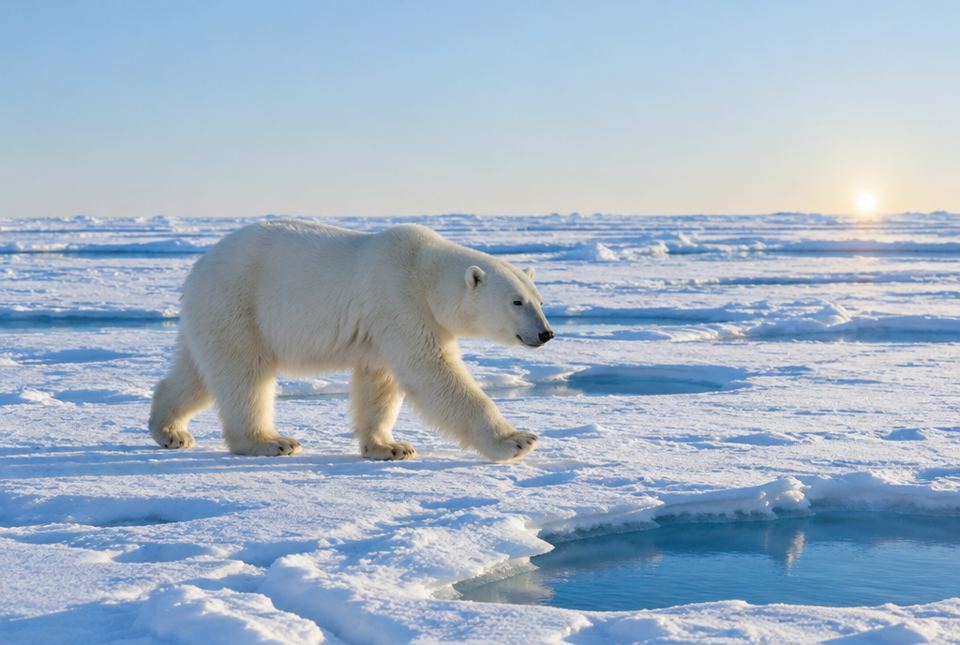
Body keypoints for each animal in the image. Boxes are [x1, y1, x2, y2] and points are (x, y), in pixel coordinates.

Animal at [148, 219, 554, 462]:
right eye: (516, 302)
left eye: (540, 300)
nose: (545, 333)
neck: (425, 271)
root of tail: (199, 267)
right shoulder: (401, 302)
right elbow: (433, 373)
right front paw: (517, 440)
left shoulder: (382, 328)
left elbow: (379, 384)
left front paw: (389, 447)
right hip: (240, 303)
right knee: (245, 374)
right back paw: (270, 441)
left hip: (212, 313)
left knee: (197, 373)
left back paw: (170, 431)